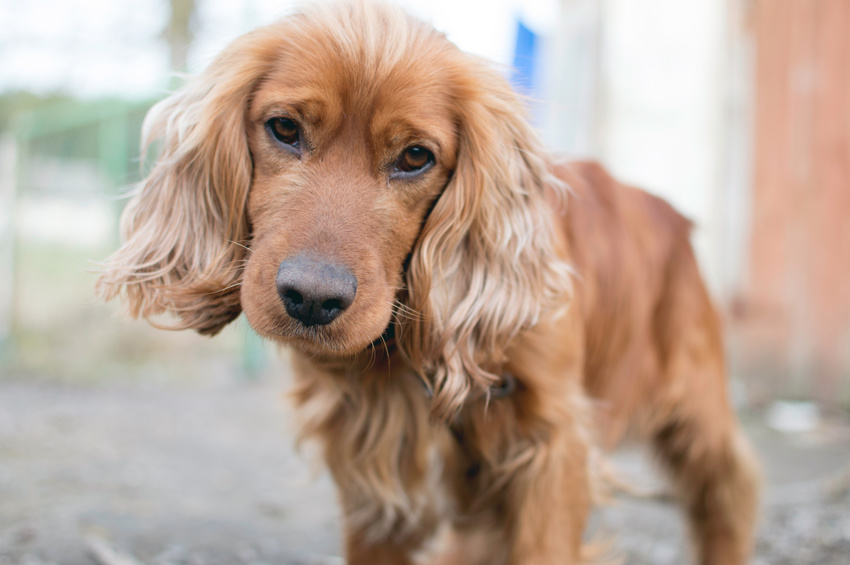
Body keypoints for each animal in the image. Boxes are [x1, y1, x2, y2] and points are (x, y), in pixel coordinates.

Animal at [96, 2, 760, 560]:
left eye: (416, 157)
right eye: (284, 128)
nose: (311, 300)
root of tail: (672, 214)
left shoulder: (552, 451)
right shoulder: (371, 464)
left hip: (696, 408)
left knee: (728, 491)